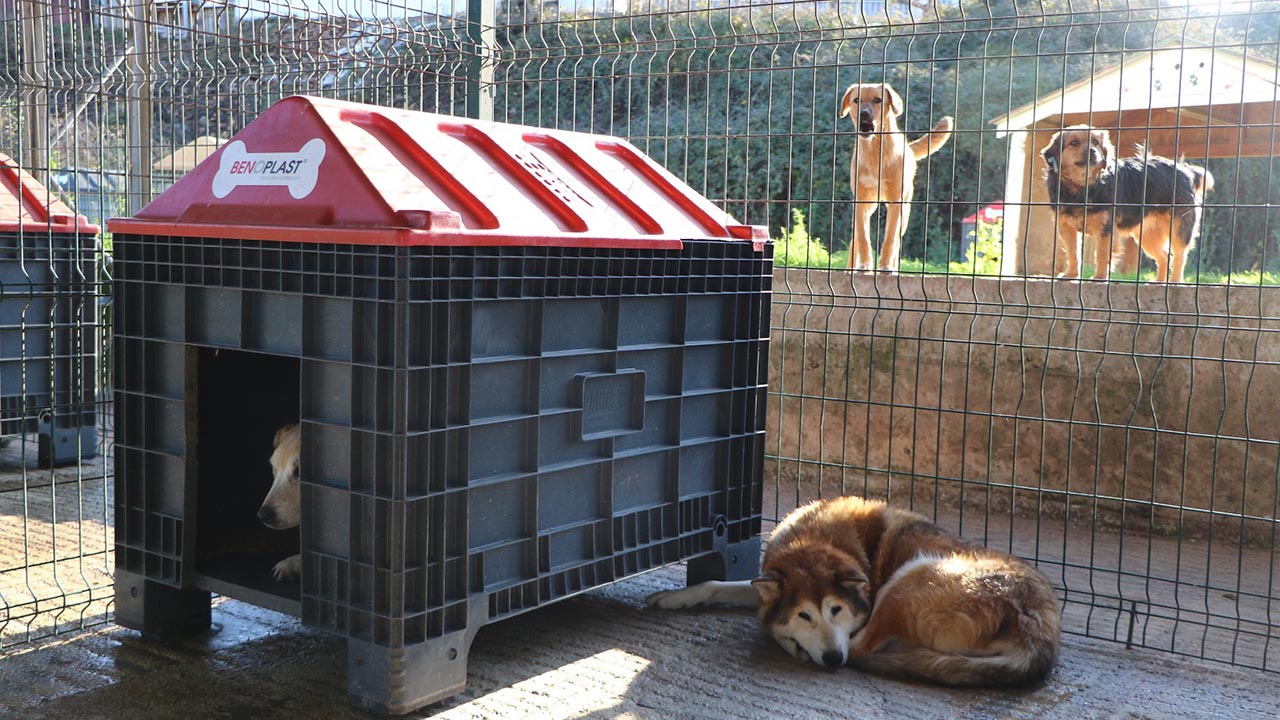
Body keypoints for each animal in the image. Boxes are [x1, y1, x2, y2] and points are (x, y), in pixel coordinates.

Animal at [839, 81, 952, 271]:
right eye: (856, 100)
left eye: (878, 100)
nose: (864, 113)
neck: (875, 153)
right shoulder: (861, 201)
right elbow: (863, 238)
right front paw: (864, 264)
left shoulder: (896, 203)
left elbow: (890, 239)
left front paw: (885, 266)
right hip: (868, 207)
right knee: (856, 239)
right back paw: (850, 268)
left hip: (905, 212)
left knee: (896, 242)